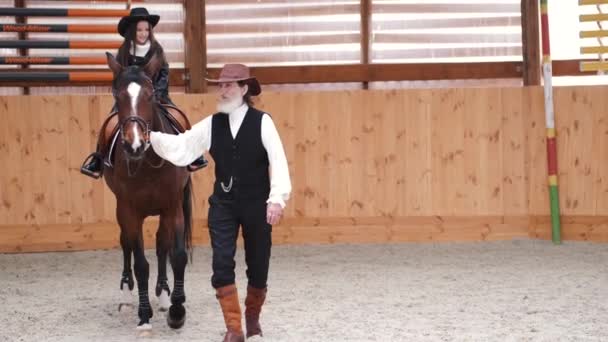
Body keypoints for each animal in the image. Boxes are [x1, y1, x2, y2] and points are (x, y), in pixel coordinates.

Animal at [103, 52, 191, 332]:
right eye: (116, 94)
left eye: (150, 94)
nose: (135, 144)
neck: (150, 161)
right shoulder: (130, 210)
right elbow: (141, 263)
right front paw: (143, 315)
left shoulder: (172, 206)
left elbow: (177, 255)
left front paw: (176, 311)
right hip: (123, 211)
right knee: (126, 244)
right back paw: (126, 295)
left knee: (162, 245)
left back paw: (163, 295)